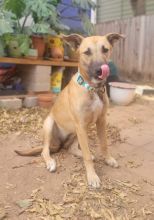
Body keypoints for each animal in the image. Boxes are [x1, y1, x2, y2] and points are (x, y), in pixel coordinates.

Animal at [15, 33, 124, 188]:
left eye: (105, 49)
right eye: (87, 52)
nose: (100, 70)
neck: (92, 88)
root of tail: (58, 144)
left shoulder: (100, 121)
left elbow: (104, 144)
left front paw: (108, 159)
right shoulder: (81, 124)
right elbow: (87, 156)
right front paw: (92, 176)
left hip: (79, 131)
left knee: (71, 148)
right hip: (50, 124)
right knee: (44, 151)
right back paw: (50, 162)